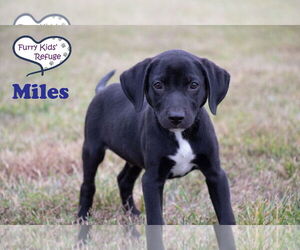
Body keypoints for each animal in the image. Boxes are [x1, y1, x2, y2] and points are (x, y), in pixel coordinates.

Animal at [78, 48, 236, 225]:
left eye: (194, 85)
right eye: (158, 85)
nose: (176, 117)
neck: (179, 134)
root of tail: (101, 91)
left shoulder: (215, 173)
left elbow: (226, 214)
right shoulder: (152, 179)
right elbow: (155, 218)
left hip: (134, 156)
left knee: (124, 180)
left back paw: (133, 214)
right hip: (93, 150)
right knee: (88, 184)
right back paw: (82, 218)